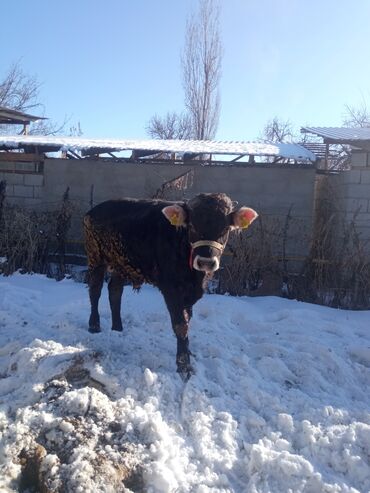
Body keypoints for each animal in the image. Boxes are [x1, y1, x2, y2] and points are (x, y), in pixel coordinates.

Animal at [84, 192, 258, 376]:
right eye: (192, 226)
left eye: (225, 229)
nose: (206, 262)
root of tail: (94, 209)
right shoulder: (171, 289)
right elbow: (180, 325)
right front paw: (184, 366)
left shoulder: (190, 293)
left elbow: (188, 321)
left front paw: (188, 352)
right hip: (95, 257)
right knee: (95, 289)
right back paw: (94, 325)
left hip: (122, 264)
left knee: (115, 290)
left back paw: (117, 328)